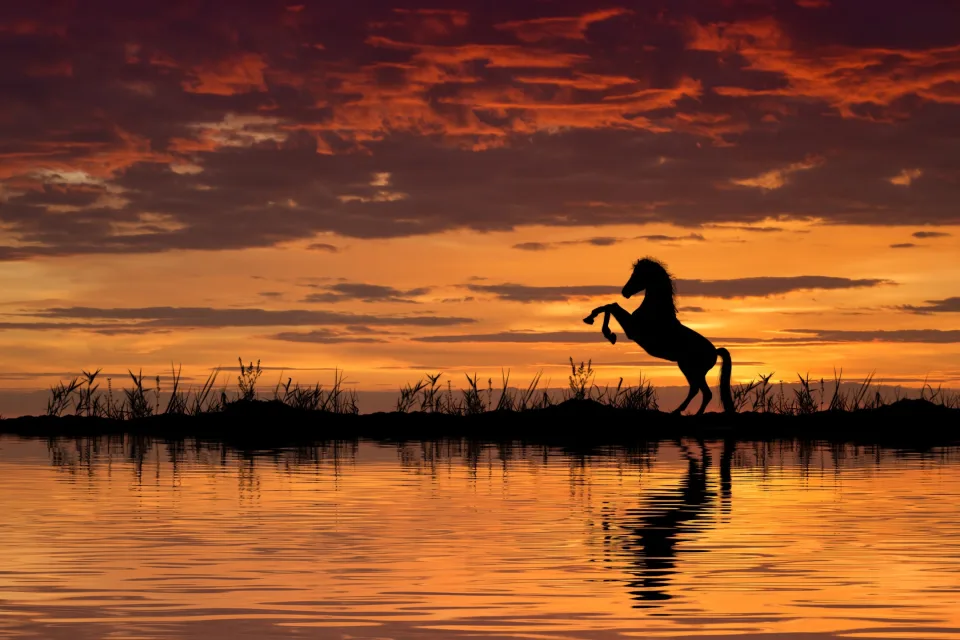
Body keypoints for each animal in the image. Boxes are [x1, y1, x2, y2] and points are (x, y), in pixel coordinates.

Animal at [583, 257, 735, 415]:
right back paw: (678, 411)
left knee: (703, 392)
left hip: (692, 370)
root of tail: (715, 351)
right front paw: (594, 322)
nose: (625, 292)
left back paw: (687, 412)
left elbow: (612, 306)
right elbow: (610, 306)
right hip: (691, 370)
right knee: (697, 390)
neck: (656, 311)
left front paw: (605, 331)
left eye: (638, 274)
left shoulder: (632, 329)